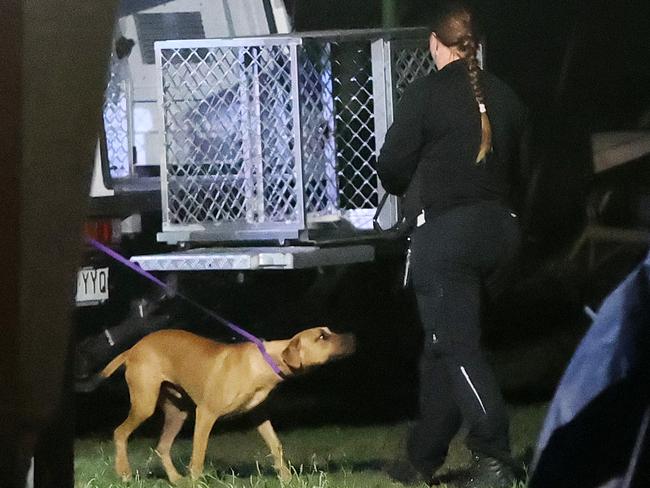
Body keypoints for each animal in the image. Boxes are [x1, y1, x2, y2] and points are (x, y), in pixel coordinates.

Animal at [100, 326, 354, 482]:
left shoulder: (260, 417)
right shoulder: (206, 414)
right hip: (145, 404)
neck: (264, 361)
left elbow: (276, 445)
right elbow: (198, 453)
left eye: (329, 332)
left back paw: (176, 479)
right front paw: (196, 481)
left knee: (162, 446)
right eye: (321, 337)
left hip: (177, 413)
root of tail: (132, 349)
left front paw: (286, 477)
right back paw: (125, 473)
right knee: (120, 433)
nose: (353, 337)